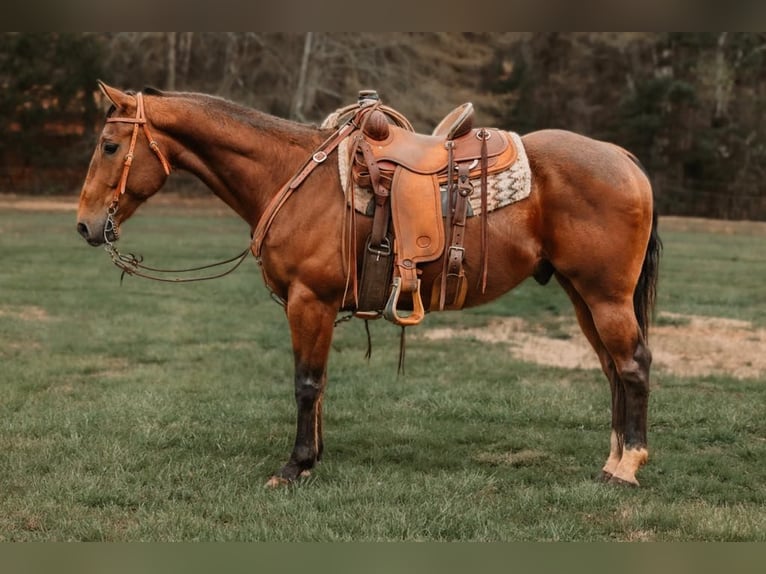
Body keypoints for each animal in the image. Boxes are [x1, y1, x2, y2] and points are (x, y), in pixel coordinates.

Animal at [79, 80, 664, 486]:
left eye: (109, 145)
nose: (85, 225)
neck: (292, 175)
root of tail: (623, 158)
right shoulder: (313, 306)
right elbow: (319, 383)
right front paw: (313, 457)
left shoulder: (308, 301)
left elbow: (306, 383)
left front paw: (294, 467)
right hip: (581, 294)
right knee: (612, 369)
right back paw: (612, 459)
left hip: (605, 295)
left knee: (633, 365)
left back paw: (627, 467)